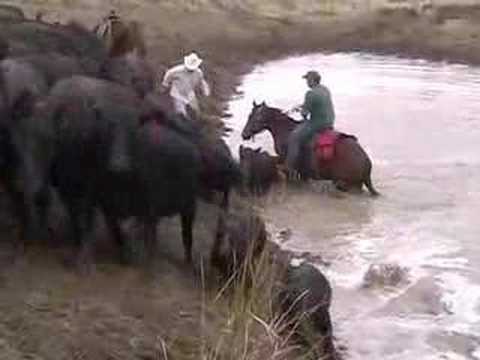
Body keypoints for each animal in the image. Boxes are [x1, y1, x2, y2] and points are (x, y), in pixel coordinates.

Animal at [242, 101, 380, 197]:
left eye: (254, 117)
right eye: (249, 115)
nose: (244, 134)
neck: (285, 130)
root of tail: (367, 164)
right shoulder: (303, 172)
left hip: (344, 183)